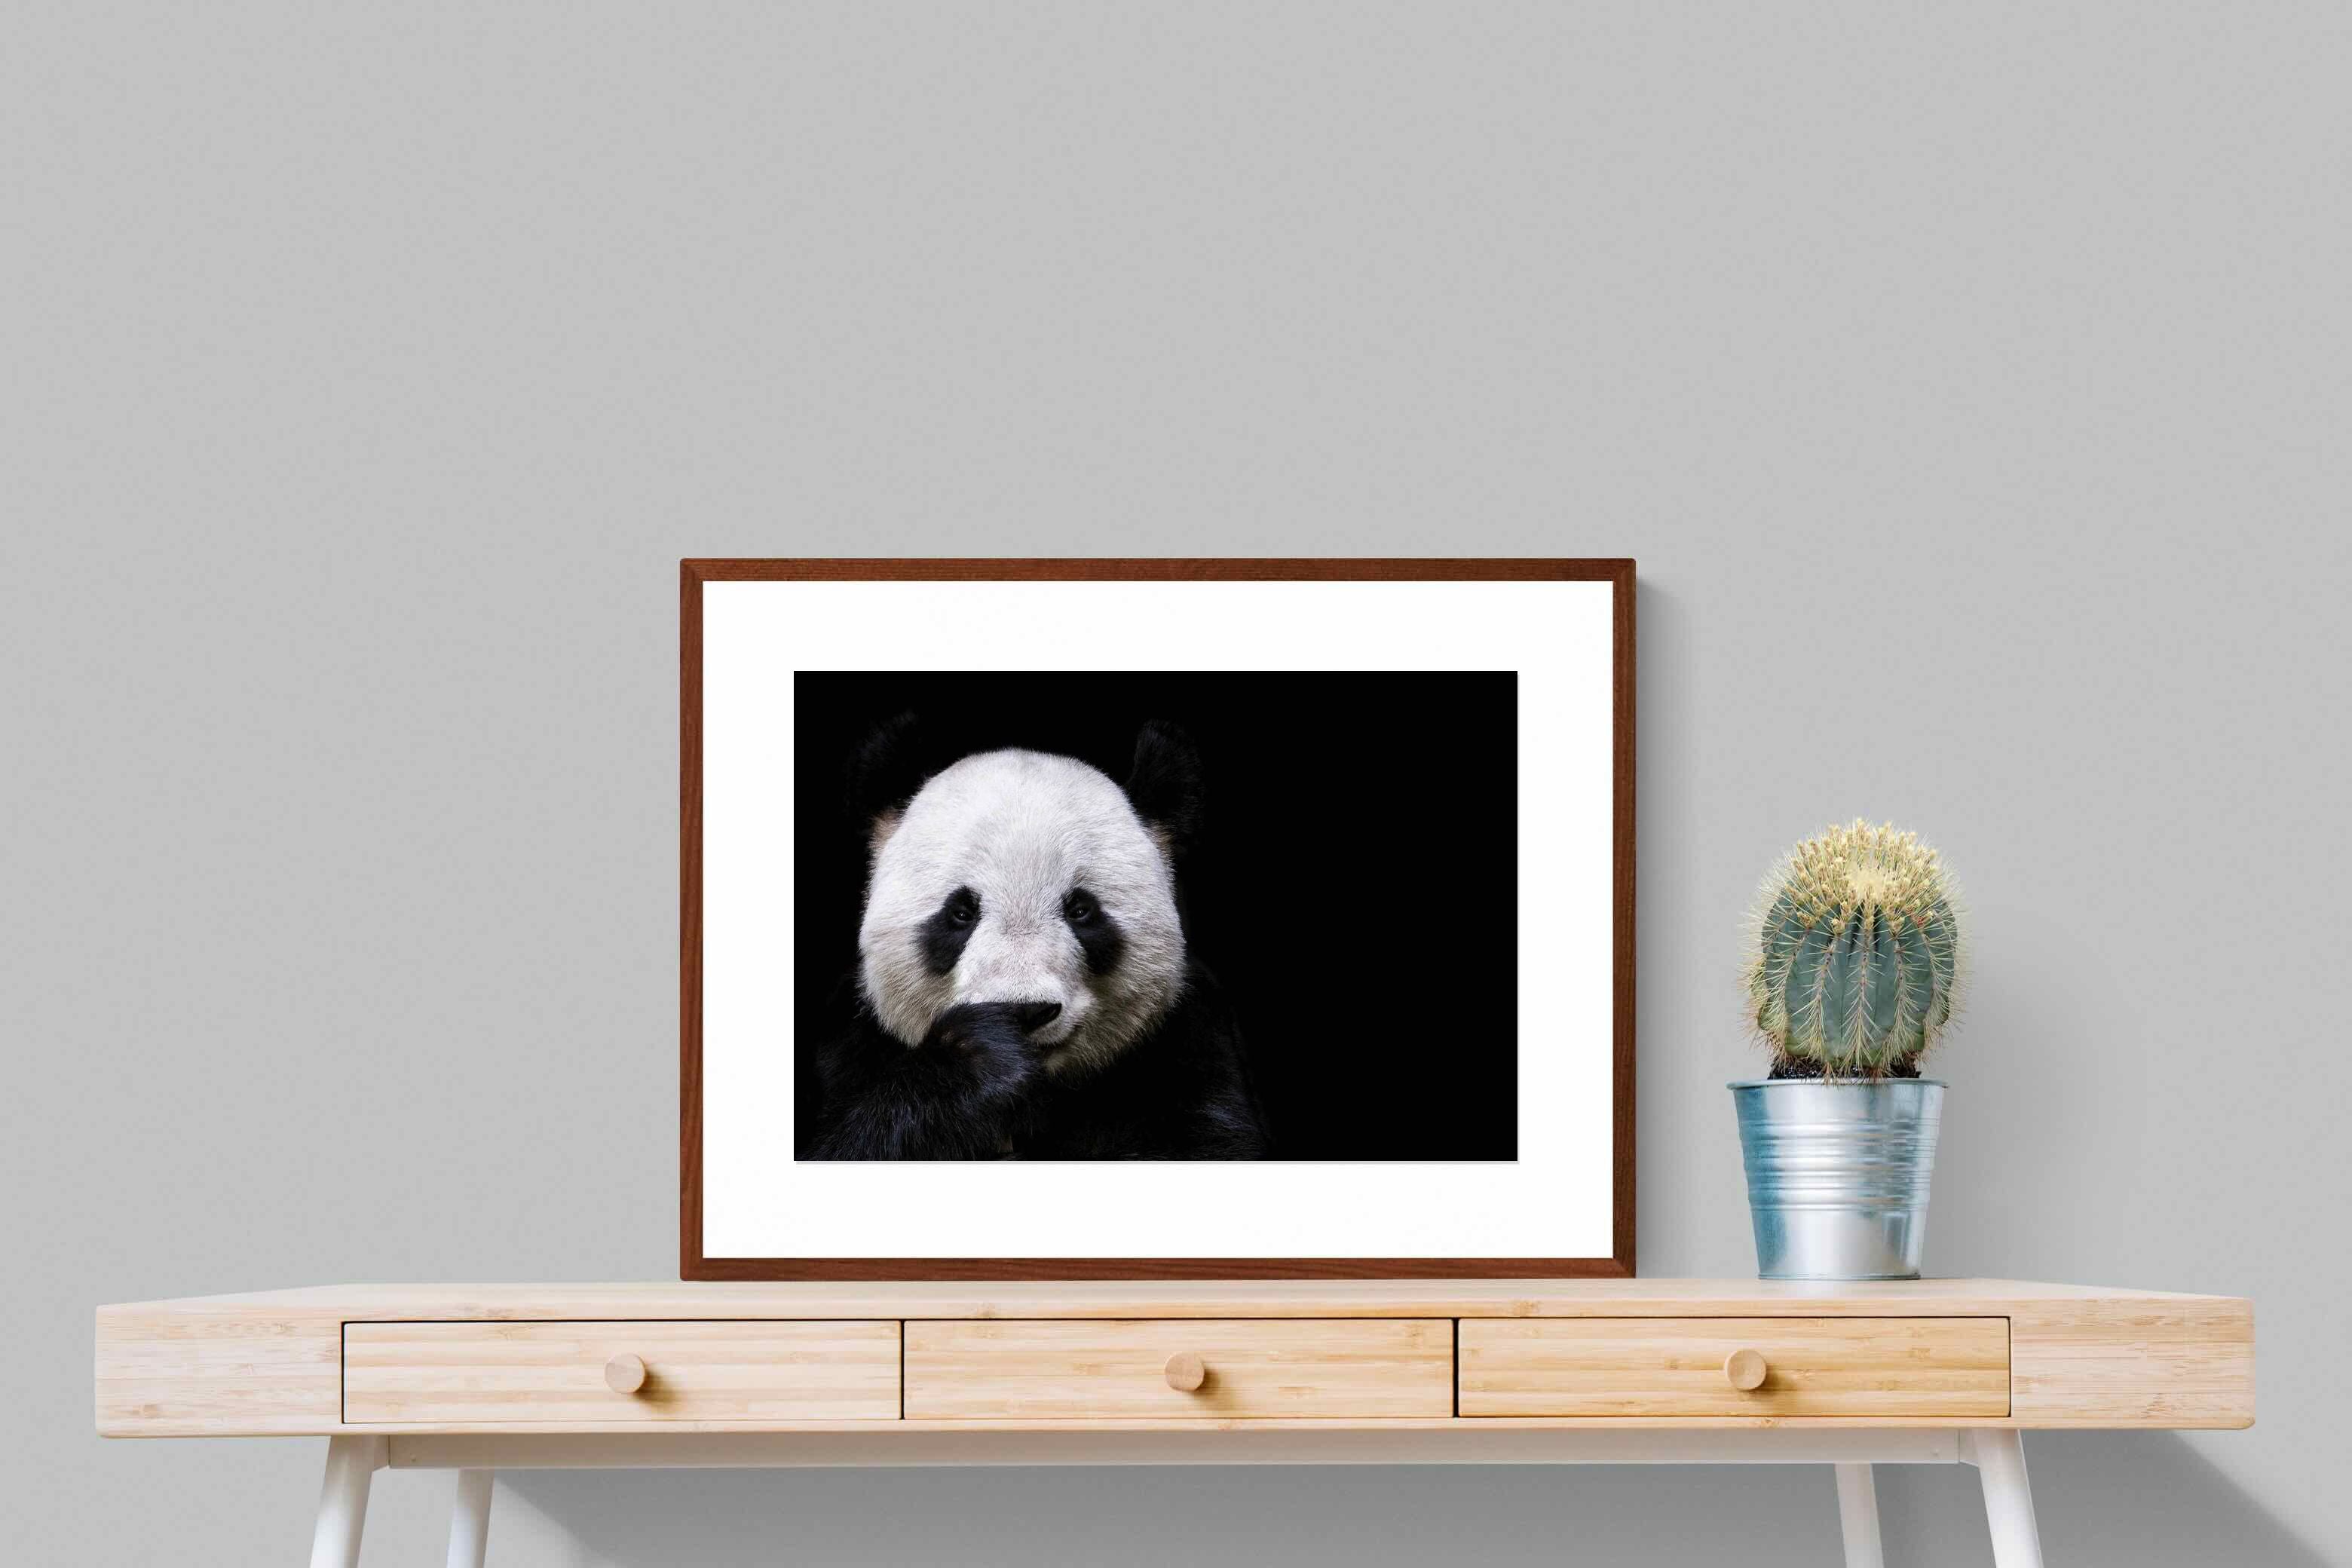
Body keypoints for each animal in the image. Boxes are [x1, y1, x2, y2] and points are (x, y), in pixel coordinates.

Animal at [808, 720, 1270, 1160]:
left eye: (1081, 910)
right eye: (961, 913)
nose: (1025, 1010)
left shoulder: (1190, 1043)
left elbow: (1206, 1143)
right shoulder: (850, 1046)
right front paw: (978, 1059)